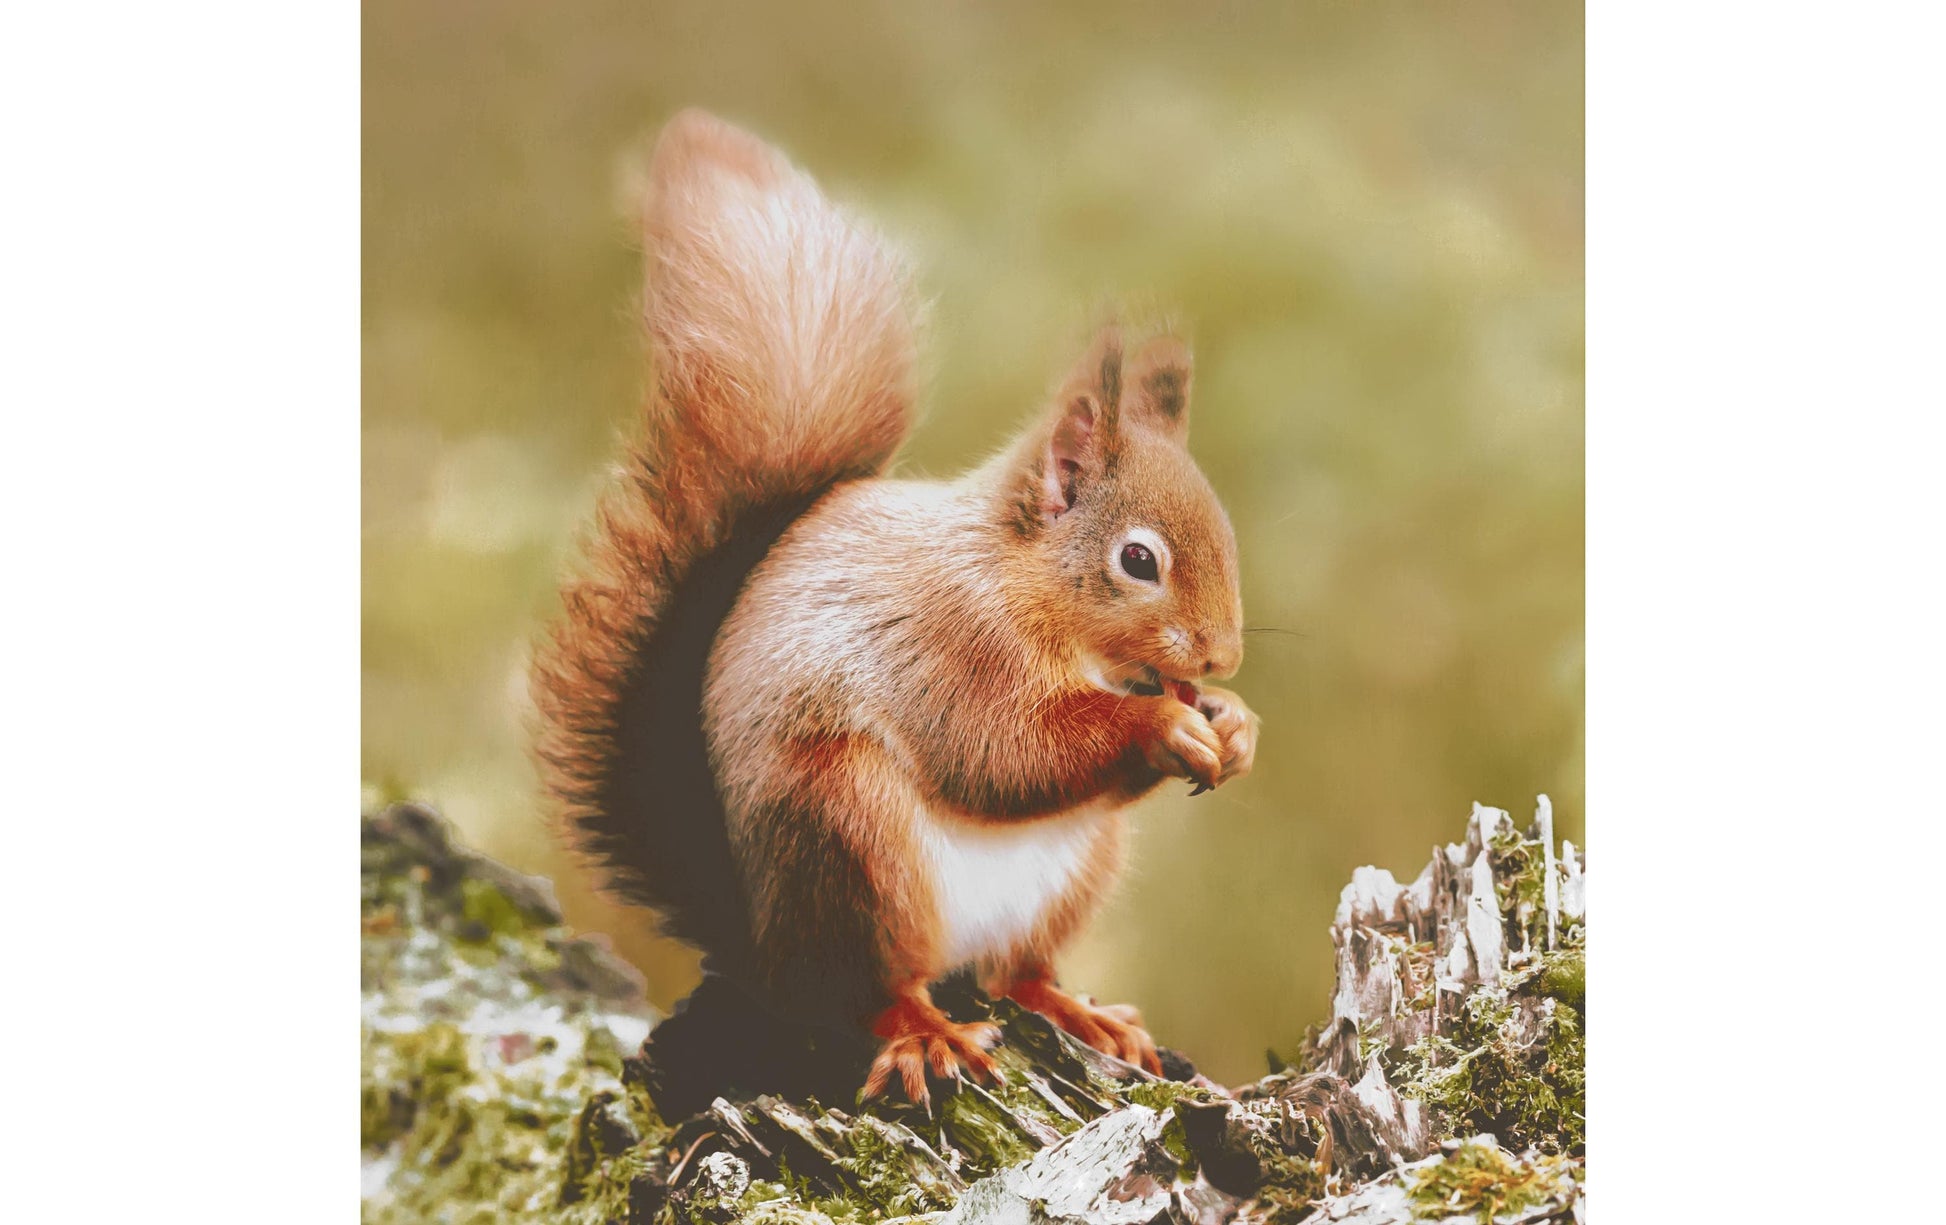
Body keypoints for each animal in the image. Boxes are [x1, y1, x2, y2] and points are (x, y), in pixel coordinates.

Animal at [532, 110, 1259, 1107]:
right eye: (1138, 560)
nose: (1222, 656)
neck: (1022, 580)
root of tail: (765, 946)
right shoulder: (952, 644)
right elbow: (1003, 751)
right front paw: (1161, 724)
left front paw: (1235, 723)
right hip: (849, 835)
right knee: (871, 990)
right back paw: (927, 1033)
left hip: (1075, 867)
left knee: (1014, 972)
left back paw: (1083, 1013)